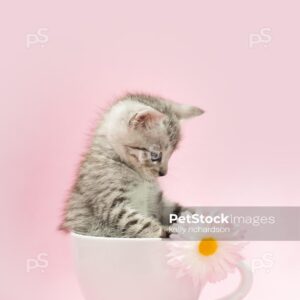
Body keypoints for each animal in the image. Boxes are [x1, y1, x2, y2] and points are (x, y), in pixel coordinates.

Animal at [60, 92, 204, 238]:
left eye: (171, 154)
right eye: (155, 156)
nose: (163, 173)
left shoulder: (157, 201)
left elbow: (176, 210)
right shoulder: (110, 203)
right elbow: (135, 222)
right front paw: (166, 231)